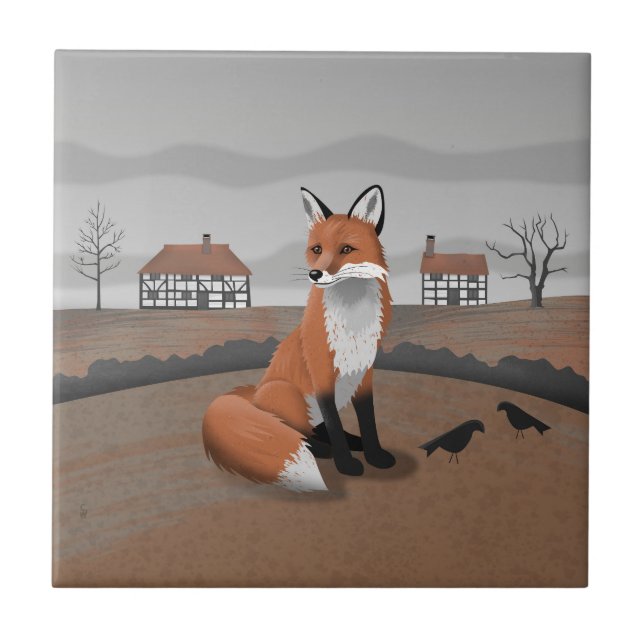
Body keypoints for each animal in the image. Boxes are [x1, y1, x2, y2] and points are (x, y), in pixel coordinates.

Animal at [202, 185, 395, 492]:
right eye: (317, 249)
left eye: (346, 249)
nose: (315, 274)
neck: (352, 322)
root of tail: (253, 394)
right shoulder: (321, 374)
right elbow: (334, 424)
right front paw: (346, 464)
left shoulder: (364, 372)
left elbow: (368, 422)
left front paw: (374, 454)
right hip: (289, 394)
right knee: (297, 431)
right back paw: (324, 450)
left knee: (317, 429)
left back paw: (353, 442)